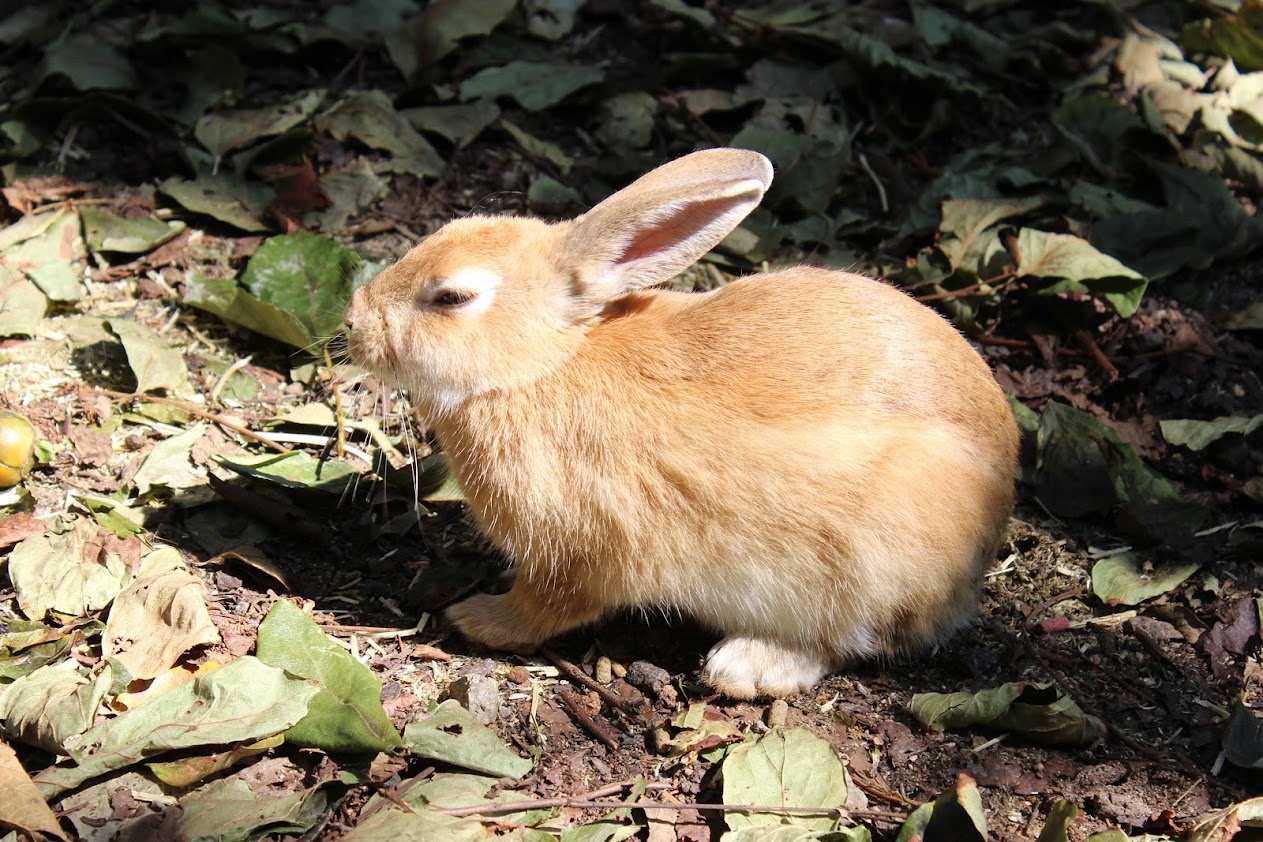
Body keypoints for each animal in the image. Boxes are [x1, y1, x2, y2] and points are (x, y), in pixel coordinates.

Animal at [343, 149, 1015, 696]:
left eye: (452, 298)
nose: (354, 323)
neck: (541, 364)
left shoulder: (581, 552)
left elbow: (545, 606)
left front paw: (478, 618)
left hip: (858, 569)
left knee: (851, 639)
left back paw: (748, 668)